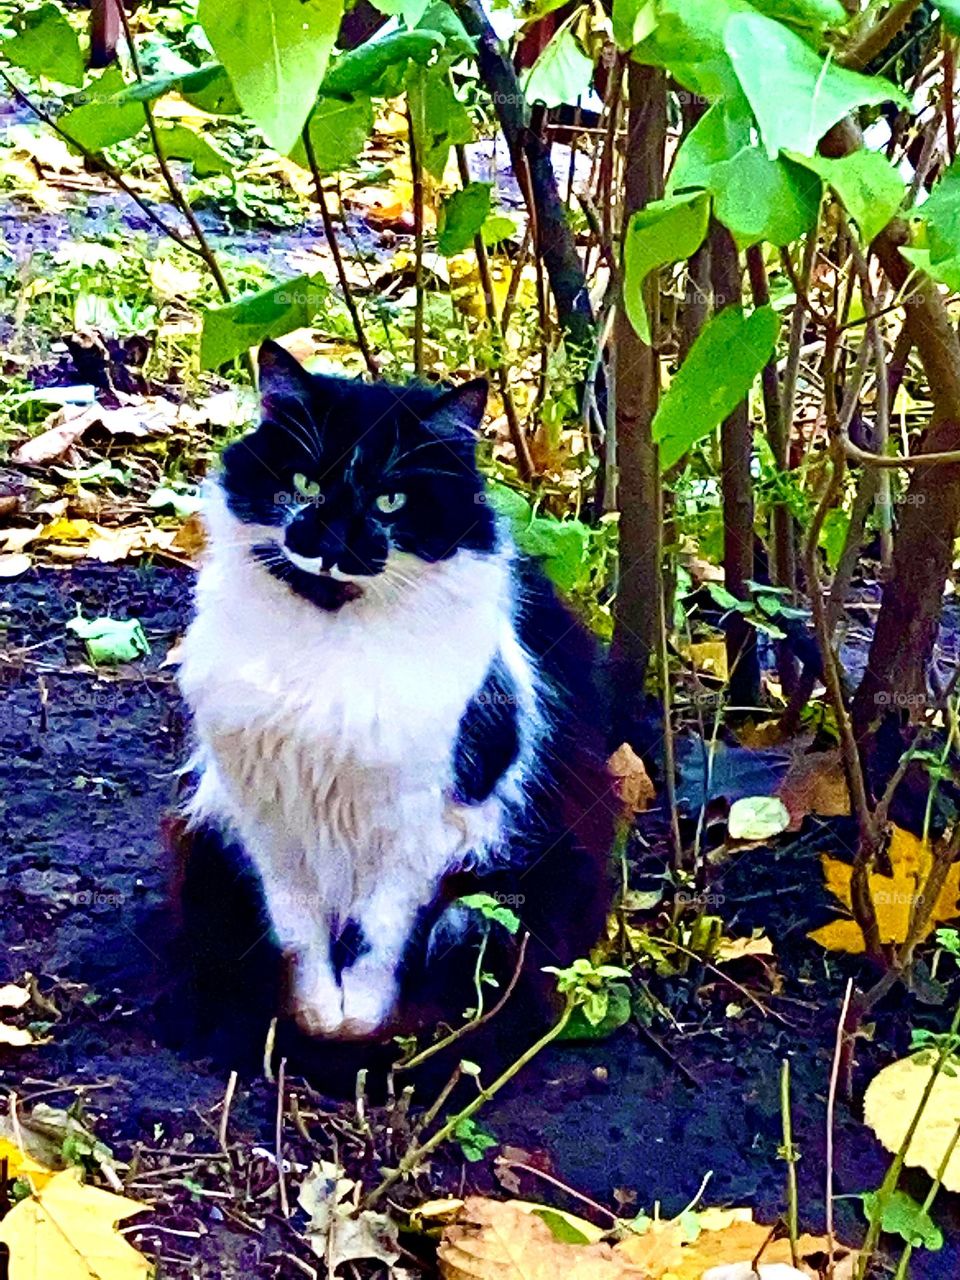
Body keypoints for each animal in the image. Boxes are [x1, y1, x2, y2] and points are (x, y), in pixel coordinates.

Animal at [177, 340, 616, 1039]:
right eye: (304, 485)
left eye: (391, 502)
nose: (330, 543)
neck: (330, 636)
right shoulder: (265, 821)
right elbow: (301, 936)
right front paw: (317, 1018)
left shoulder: (424, 827)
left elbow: (376, 942)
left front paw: (358, 1024)